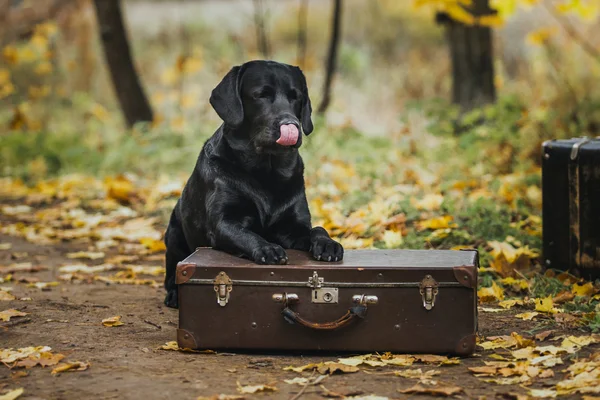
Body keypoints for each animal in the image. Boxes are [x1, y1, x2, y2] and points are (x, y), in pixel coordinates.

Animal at [163, 60, 342, 310]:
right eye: (261, 95)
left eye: (296, 97)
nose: (291, 124)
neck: (265, 172)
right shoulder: (224, 222)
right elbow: (245, 234)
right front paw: (267, 248)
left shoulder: (293, 226)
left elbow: (317, 229)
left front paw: (328, 244)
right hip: (173, 235)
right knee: (171, 273)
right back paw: (173, 295)